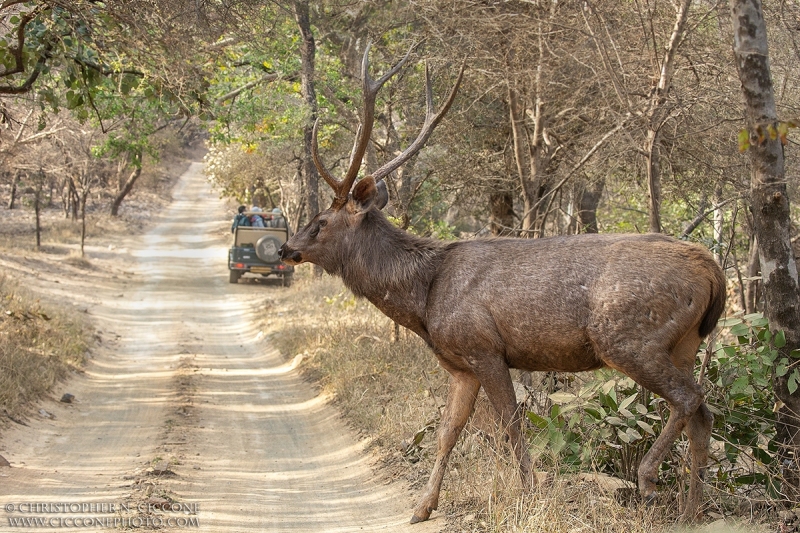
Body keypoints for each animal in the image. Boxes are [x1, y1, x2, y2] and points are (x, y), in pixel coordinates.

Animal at [282, 44, 724, 520]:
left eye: (320, 223)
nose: (286, 249)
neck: (424, 299)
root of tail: (713, 271)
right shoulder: (460, 364)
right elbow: (448, 431)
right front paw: (423, 507)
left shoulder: (484, 347)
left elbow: (511, 424)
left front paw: (531, 493)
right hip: (684, 344)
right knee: (704, 414)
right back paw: (692, 511)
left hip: (631, 338)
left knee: (689, 399)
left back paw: (648, 478)